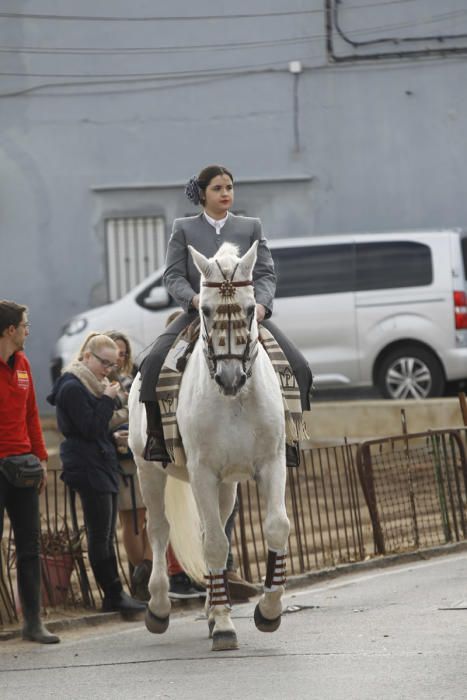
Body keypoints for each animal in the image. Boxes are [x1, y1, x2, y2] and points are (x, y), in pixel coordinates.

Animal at [128, 241, 288, 652]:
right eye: (205, 309)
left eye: (250, 307)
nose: (230, 377)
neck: (234, 401)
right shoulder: (201, 472)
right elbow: (215, 544)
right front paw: (226, 627)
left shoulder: (271, 463)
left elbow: (275, 527)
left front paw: (268, 612)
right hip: (147, 468)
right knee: (159, 529)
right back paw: (159, 607)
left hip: (227, 484)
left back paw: (214, 611)